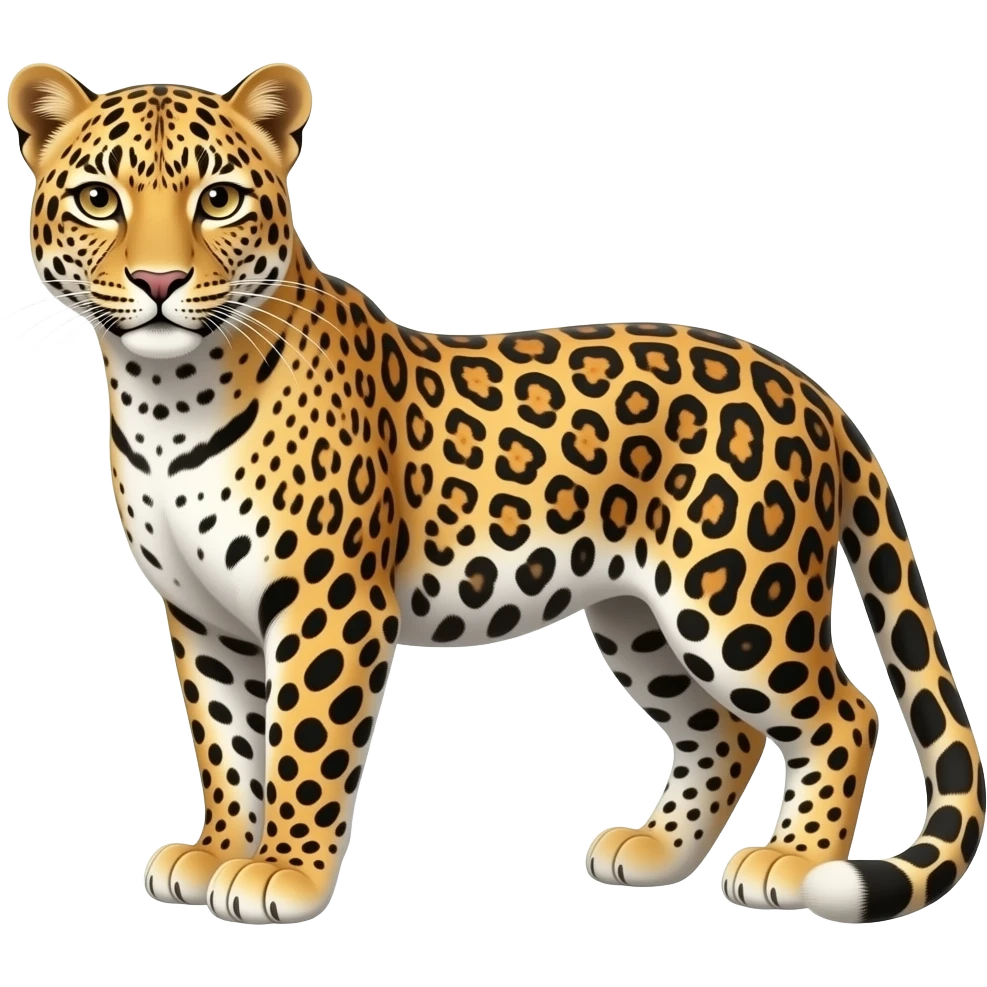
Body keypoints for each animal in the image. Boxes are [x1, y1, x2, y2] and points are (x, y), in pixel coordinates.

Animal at [6, 61, 983, 927]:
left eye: (219, 200)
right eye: (99, 199)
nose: (158, 283)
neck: (166, 398)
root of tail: (809, 388)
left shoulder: (329, 603)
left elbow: (304, 745)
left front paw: (282, 872)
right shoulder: (201, 613)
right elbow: (225, 740)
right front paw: (216, 850)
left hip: (735, 597)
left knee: (843, 713)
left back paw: (796, 860)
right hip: (637, 617)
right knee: (725, 732)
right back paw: (656, 850)